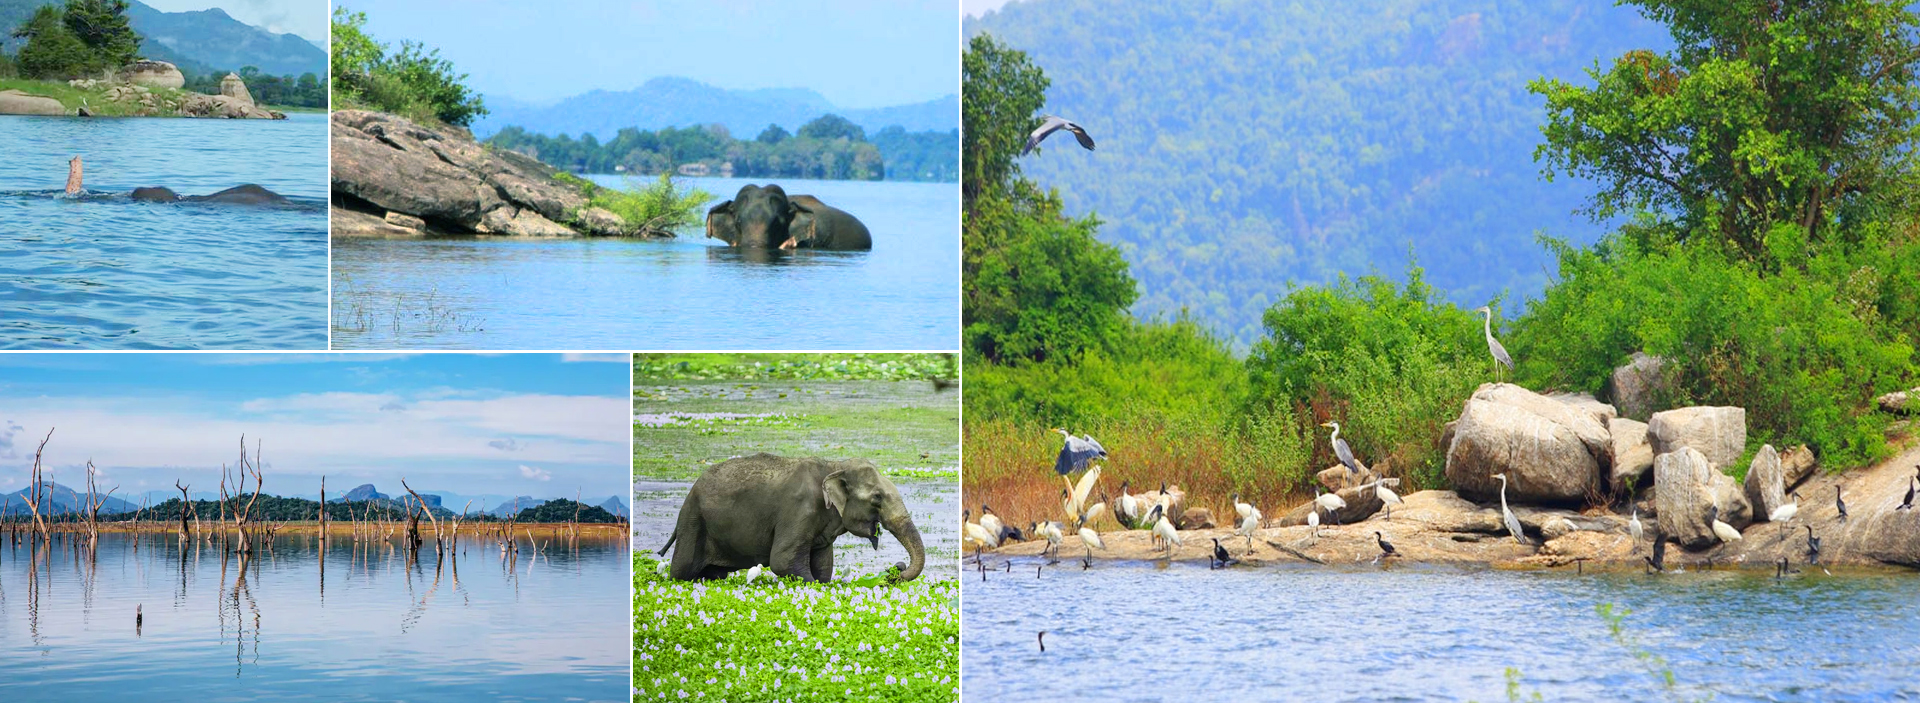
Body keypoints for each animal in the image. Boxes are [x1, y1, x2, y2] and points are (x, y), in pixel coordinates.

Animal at [656, 453, 925, 583]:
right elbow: (782, 561)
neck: (833, 465)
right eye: (877, 497)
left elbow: (823, 565)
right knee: (682, 570)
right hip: (693, 520)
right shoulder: (799, 511)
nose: (895, 569)